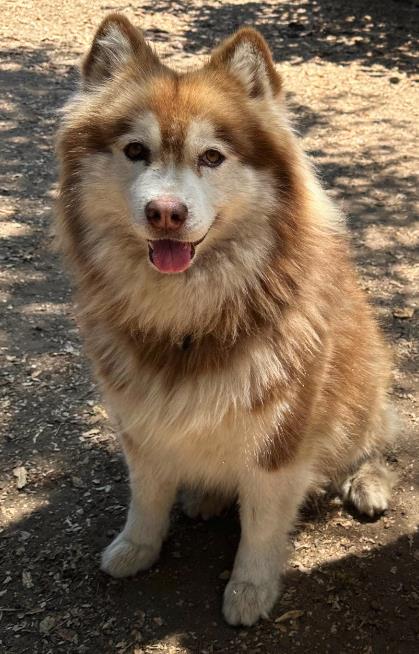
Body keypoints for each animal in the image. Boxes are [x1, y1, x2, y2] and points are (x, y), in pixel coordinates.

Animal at [55, 15, 398, 628]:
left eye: (211, 157)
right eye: (135, 150)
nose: (165, 213)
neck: (189, 320)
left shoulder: (281, 434)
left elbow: (261, 522)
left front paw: (250, 589)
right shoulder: (139, 419)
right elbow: (146, 494)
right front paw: (135, 547)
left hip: (364, 389)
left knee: (374, 443)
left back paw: (368, 482)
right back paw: (206, 496)